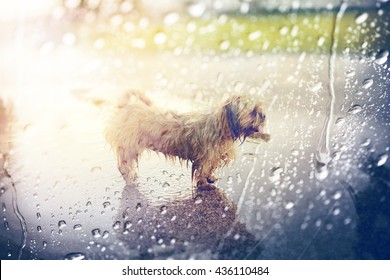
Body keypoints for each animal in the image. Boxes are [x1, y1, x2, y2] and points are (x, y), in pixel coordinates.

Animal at [106, 91, 272, 189]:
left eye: (260, 108)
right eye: (253, 112)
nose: (264, 115)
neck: (221, 126)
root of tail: (126, 107)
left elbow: (209, 170)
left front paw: (210, 178)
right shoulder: (206, 157)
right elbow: (203, 170)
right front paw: (204, 184)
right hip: (128, 147)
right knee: (123, 164)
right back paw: (129, 177)